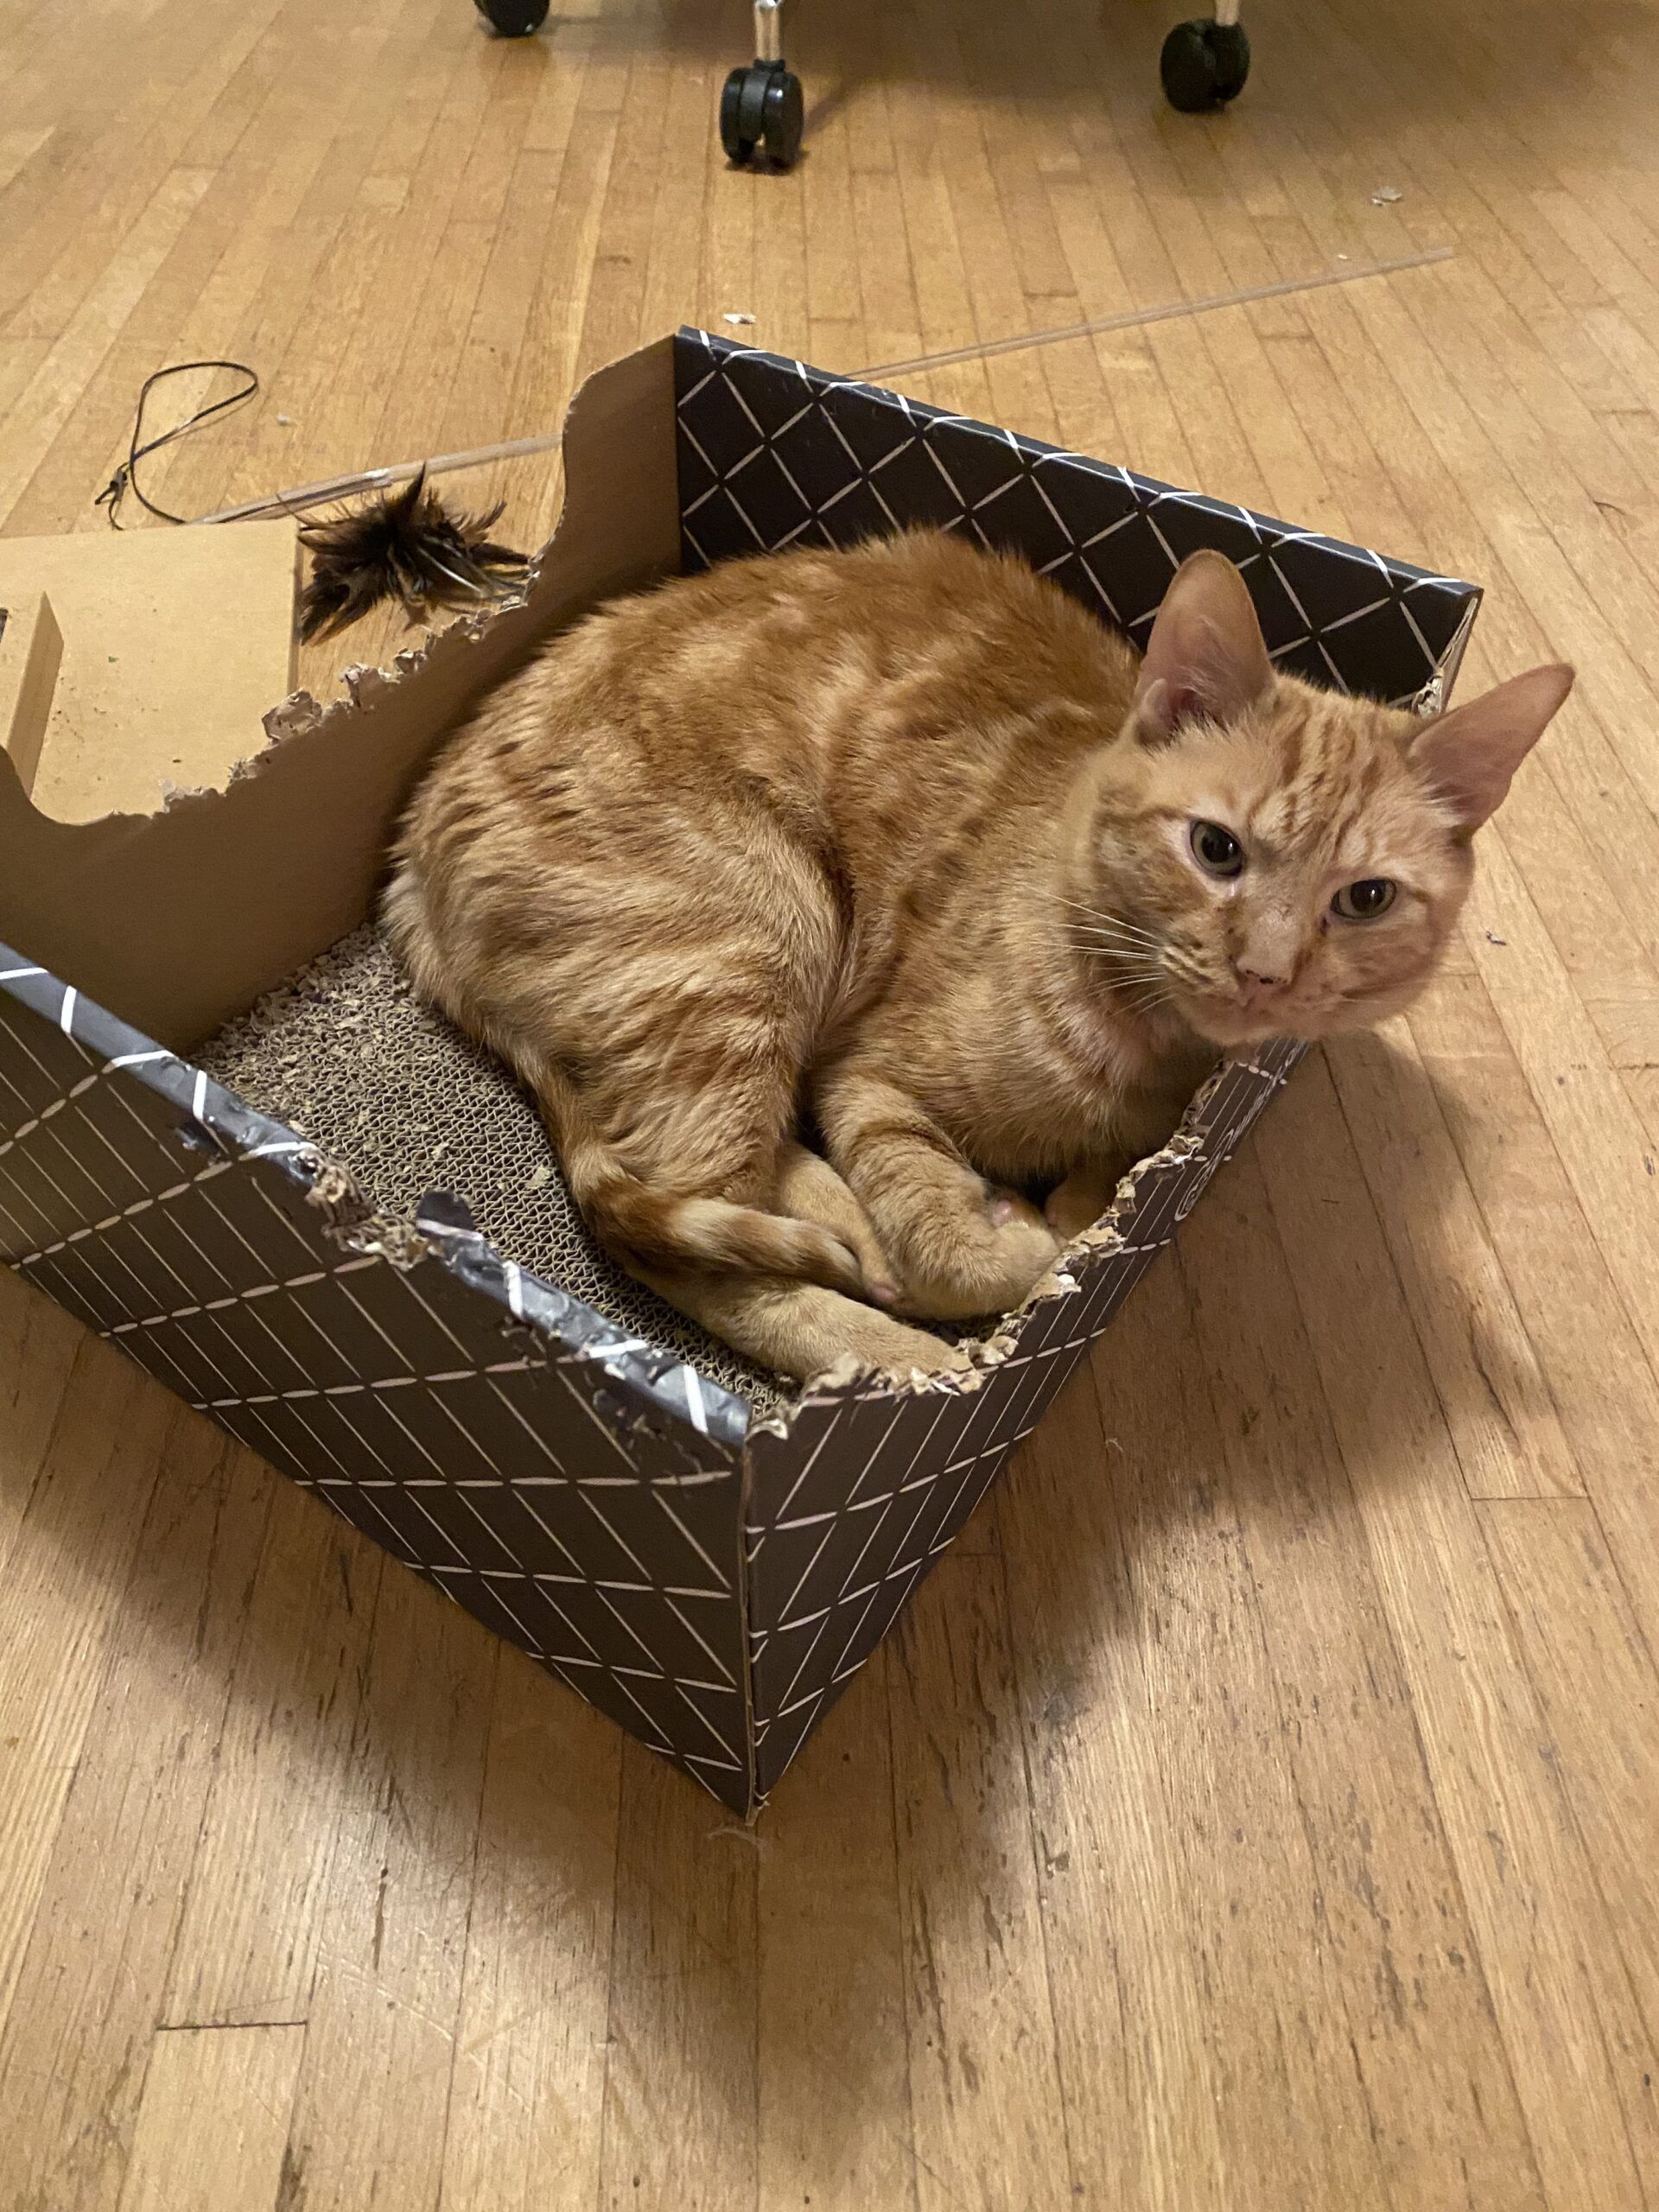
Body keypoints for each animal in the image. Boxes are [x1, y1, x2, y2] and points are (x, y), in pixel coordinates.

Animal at [387, 526, 1574, 1371]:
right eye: (1216, 849)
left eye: (1365, 899)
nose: (1267, 972)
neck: (1145, 1040)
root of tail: (416, 843)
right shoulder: (865, 1071)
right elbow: (971, 1249)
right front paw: (1000, 1238)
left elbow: (1102, 1187)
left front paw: (1079, 1196)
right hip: (756, 942)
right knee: (691, 1225)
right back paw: (883, 1329)